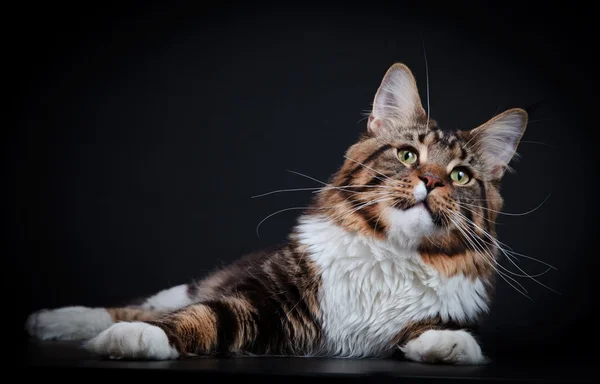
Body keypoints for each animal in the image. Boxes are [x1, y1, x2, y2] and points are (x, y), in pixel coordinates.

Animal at [25, 62, 528, 364]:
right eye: (407, 155)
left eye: (460, 176)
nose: (432, 181)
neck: (392, 256)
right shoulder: (259, 301)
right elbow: (196, 318)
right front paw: (134, 340)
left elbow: (429, 330)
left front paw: (452, 343)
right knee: (144, 306)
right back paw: (56, 320)